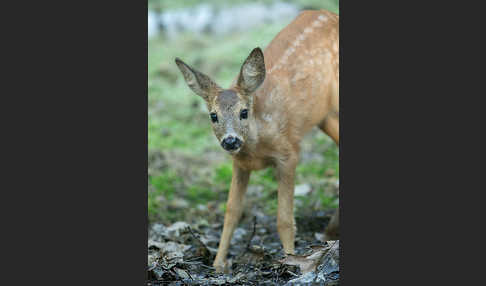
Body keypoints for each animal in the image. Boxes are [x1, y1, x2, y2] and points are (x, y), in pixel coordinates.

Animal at [175, 9, 338, 272]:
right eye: (213, 115)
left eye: (244, 112)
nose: (230, 141)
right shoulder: (239, 164)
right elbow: (232, 212)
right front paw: (218, 264)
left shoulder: (288, 153)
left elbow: (284, 218)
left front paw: (289, 259)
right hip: (325, 117)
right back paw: (330, 231)